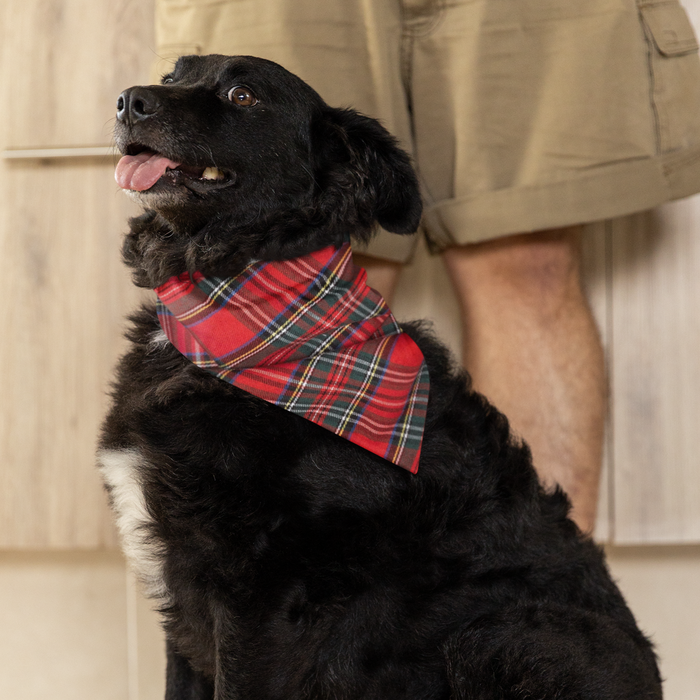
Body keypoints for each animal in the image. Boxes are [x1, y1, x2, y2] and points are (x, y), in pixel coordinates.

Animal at [98, 56, 660, 700]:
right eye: (173, 74)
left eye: (243, 95)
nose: (128, 101)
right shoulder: (186, 593)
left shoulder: (260, 597)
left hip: (498, 635)